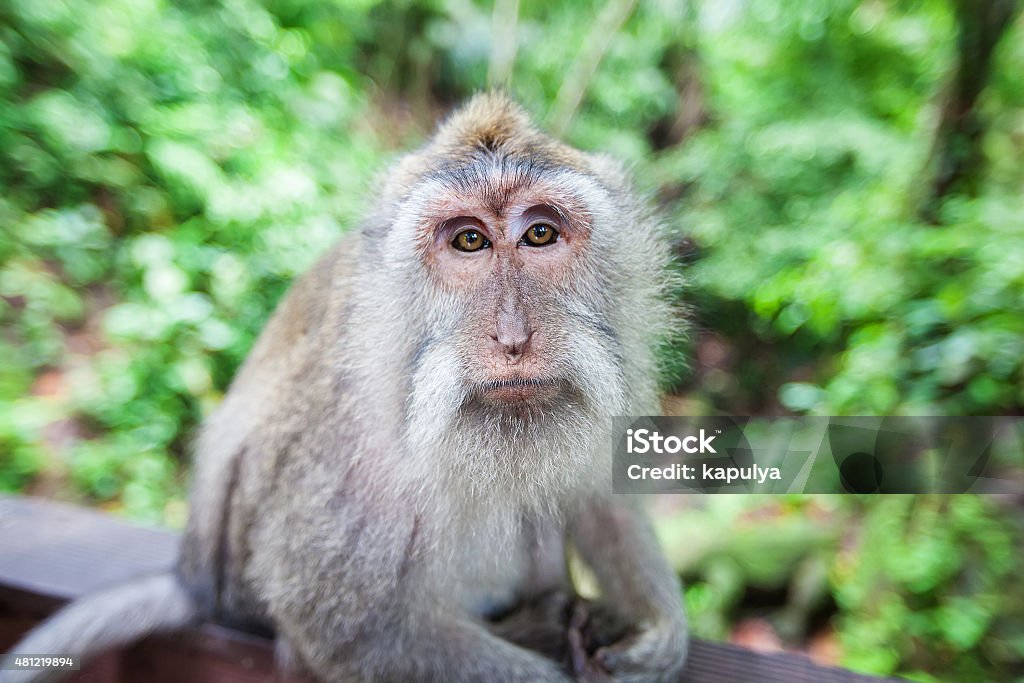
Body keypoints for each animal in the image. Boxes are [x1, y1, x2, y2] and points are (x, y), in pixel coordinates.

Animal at [2, 92, 688, 682]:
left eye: (540, 233)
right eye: (469, 239)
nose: (513, 337)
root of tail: (195, 576)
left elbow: (603, 497)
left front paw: (659, 630)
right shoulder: (347, 437)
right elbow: (346, 627)